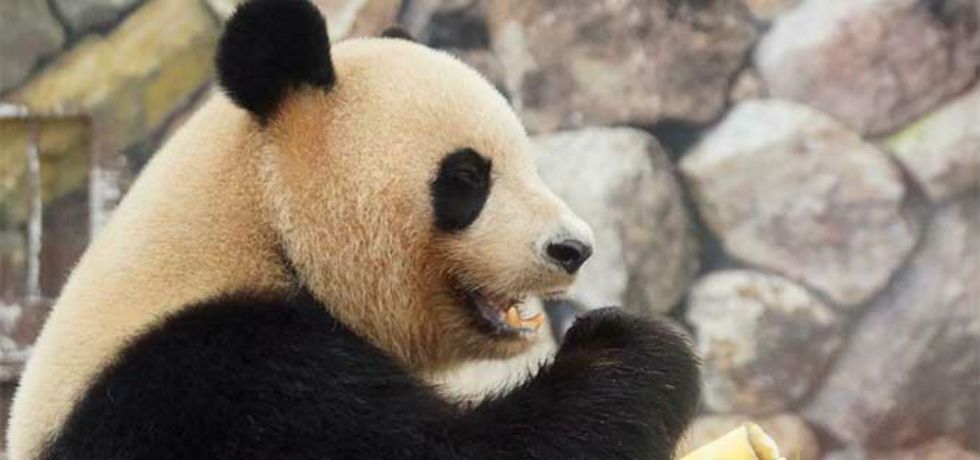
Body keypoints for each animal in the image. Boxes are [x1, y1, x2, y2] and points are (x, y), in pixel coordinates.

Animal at [7, 0, 699, 459]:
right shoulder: (210, 380)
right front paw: (629, 346)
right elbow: (442, 448)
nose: (573, 248)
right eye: (467, 177)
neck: (260, 221)